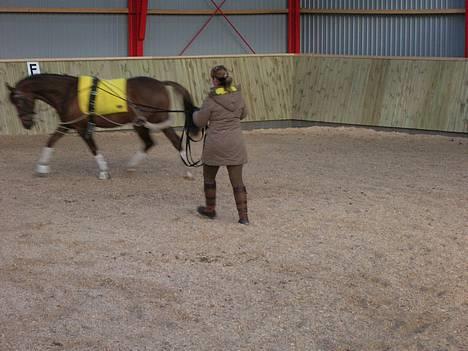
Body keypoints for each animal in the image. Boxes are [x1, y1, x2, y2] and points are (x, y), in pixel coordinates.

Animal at [5, 73, 200, 180]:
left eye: (19, 101)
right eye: (14, 103)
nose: (27, 124)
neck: (69, 92)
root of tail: (161, 83)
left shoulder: (81, 127)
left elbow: (93, 148)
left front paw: (104, 171)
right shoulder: (67, 124)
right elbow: (51, 141)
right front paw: (41, 167)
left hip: (157, 119)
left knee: (174, 141)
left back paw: (188, 171)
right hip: (140, 122)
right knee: (149, 143)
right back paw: (131, 167)